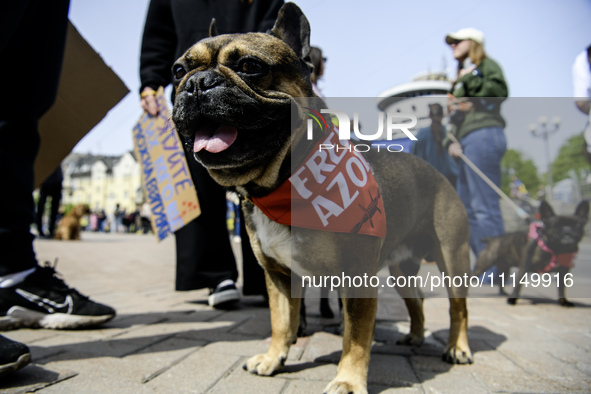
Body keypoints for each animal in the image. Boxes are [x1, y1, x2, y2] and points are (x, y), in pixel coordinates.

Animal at [170, 4, 472, 392]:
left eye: (251, 66)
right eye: (179, 71)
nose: (197, 83)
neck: (280, 182)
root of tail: (436, 171)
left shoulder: (357, 276)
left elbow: (356, 337)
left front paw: (348, 380)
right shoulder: (278, 276)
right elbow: (281, 321)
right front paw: (273, 358)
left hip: (452, 257)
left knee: (458, 308)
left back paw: (458, 348)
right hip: (401, 268)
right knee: (416, 302)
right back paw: (415, 337)